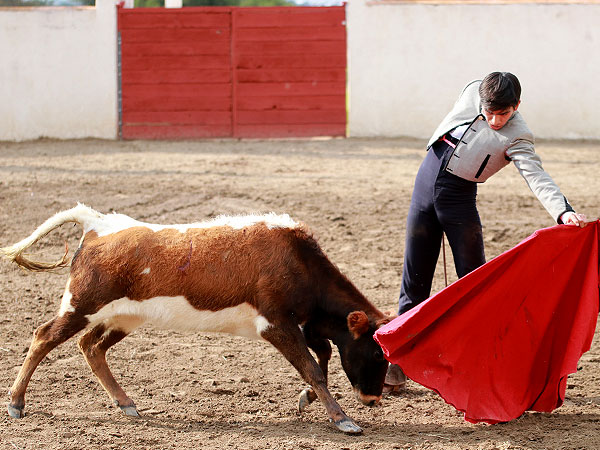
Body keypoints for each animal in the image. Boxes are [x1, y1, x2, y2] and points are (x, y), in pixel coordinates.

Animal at [1, 206, 394, 434]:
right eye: (377, 353)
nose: (373, 399)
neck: (298, 262)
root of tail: (98, 223)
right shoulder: (276, 325)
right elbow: (312, 367)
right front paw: (342, 419)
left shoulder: (305, 325)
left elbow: (323, 355)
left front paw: (308, 399)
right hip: (80, 305)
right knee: (43, 337)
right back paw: (16, 403)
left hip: (124, 316)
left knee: (91, 346)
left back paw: (126, 404)